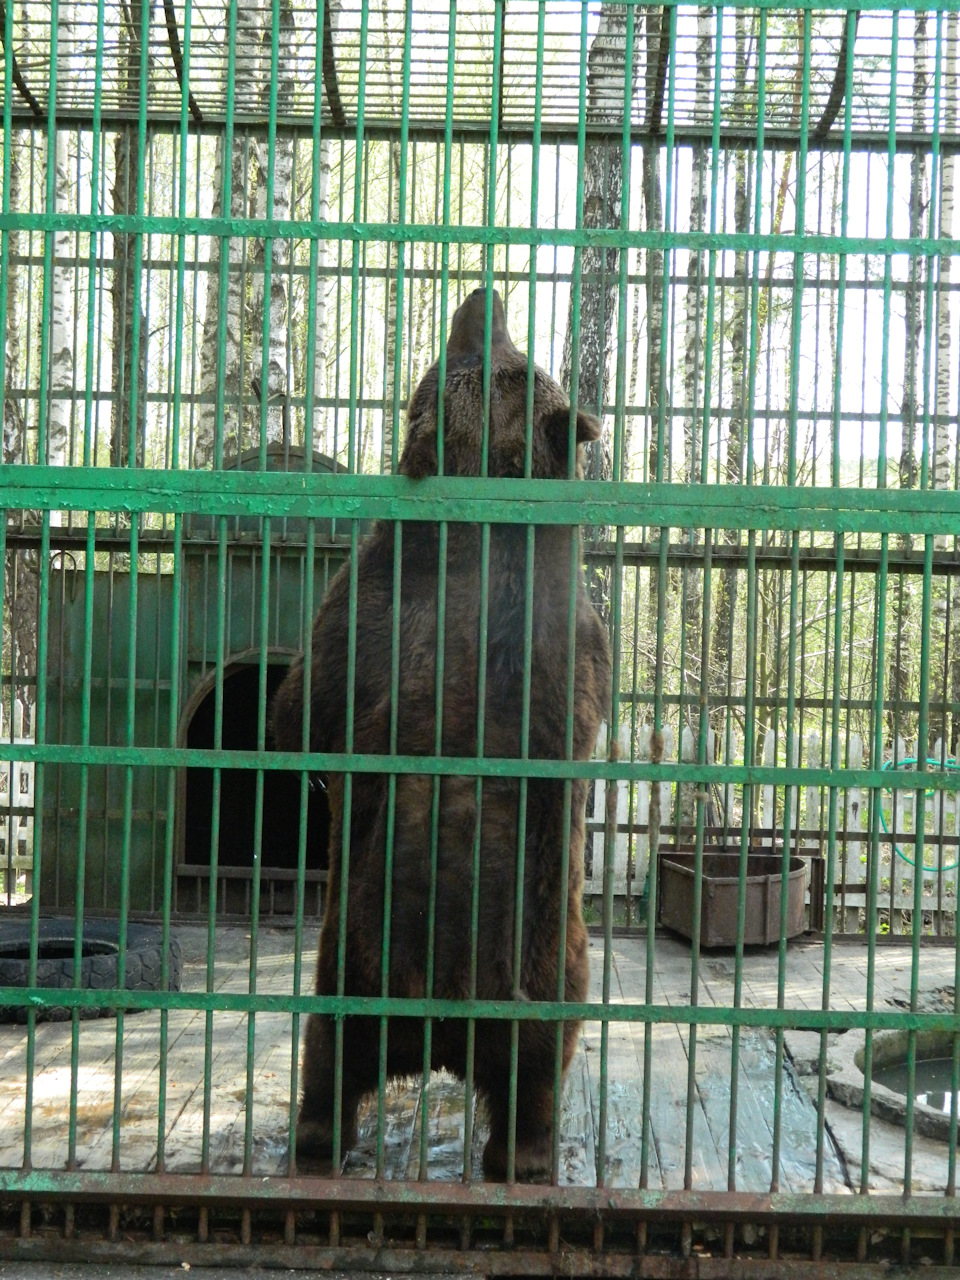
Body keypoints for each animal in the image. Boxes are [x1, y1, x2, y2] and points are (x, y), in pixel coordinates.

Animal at [271, 290, 611, 1177]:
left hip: (375, 958)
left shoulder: (375, 596)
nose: (485, 296)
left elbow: (300, 706)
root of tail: (445, 1023)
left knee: (336, 1054)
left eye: (496, 356)